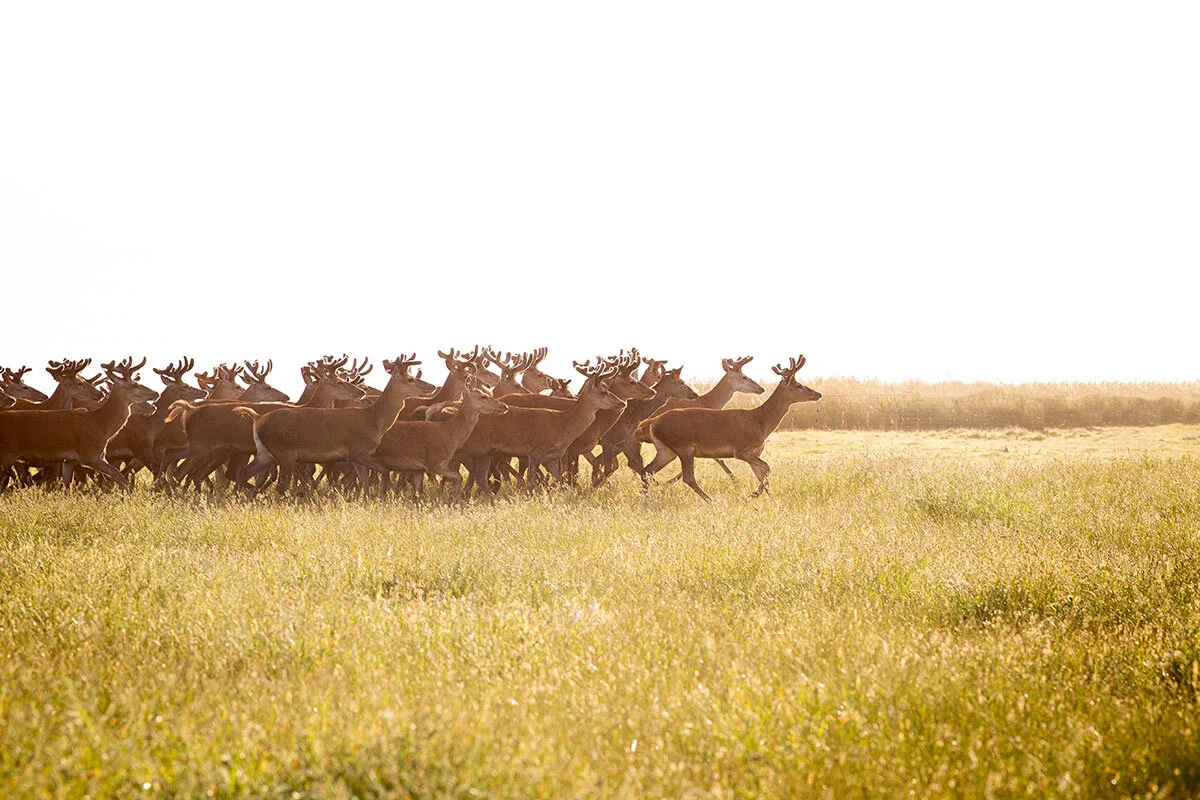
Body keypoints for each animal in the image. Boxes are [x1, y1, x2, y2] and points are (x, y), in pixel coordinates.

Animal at [0, 357, 158, 492]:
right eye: (134, 384)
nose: (156, 393)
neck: (102, 425)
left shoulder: (69, 459)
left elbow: (65, 486)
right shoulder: (88, 454)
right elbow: (118, 476)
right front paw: (129, 495)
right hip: (7, 453)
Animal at [238, 355, 435, 497]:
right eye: (410, 379)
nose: (432, 386)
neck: (372, 422)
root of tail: (258, 419)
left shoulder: (355, 457)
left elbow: (365, 483)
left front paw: (367, 500)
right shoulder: (356, 450)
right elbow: (384, 472)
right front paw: (382, 498)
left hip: (265, 452)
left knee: (244, 473)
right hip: (285, 452)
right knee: (280, 485)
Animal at [637, 355, 820, 501]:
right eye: (799, 385)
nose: (818, 394)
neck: (761, 422)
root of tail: (654, 421)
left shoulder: (755, 452)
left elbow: (762, 476)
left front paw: (770, 498)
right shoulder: (741, 450)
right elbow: (767, 469)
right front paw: (751, 495)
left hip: (666, 450)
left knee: (647, 470)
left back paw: (647, 498)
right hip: (683, 446)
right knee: (687, 477)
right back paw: (711, 500)